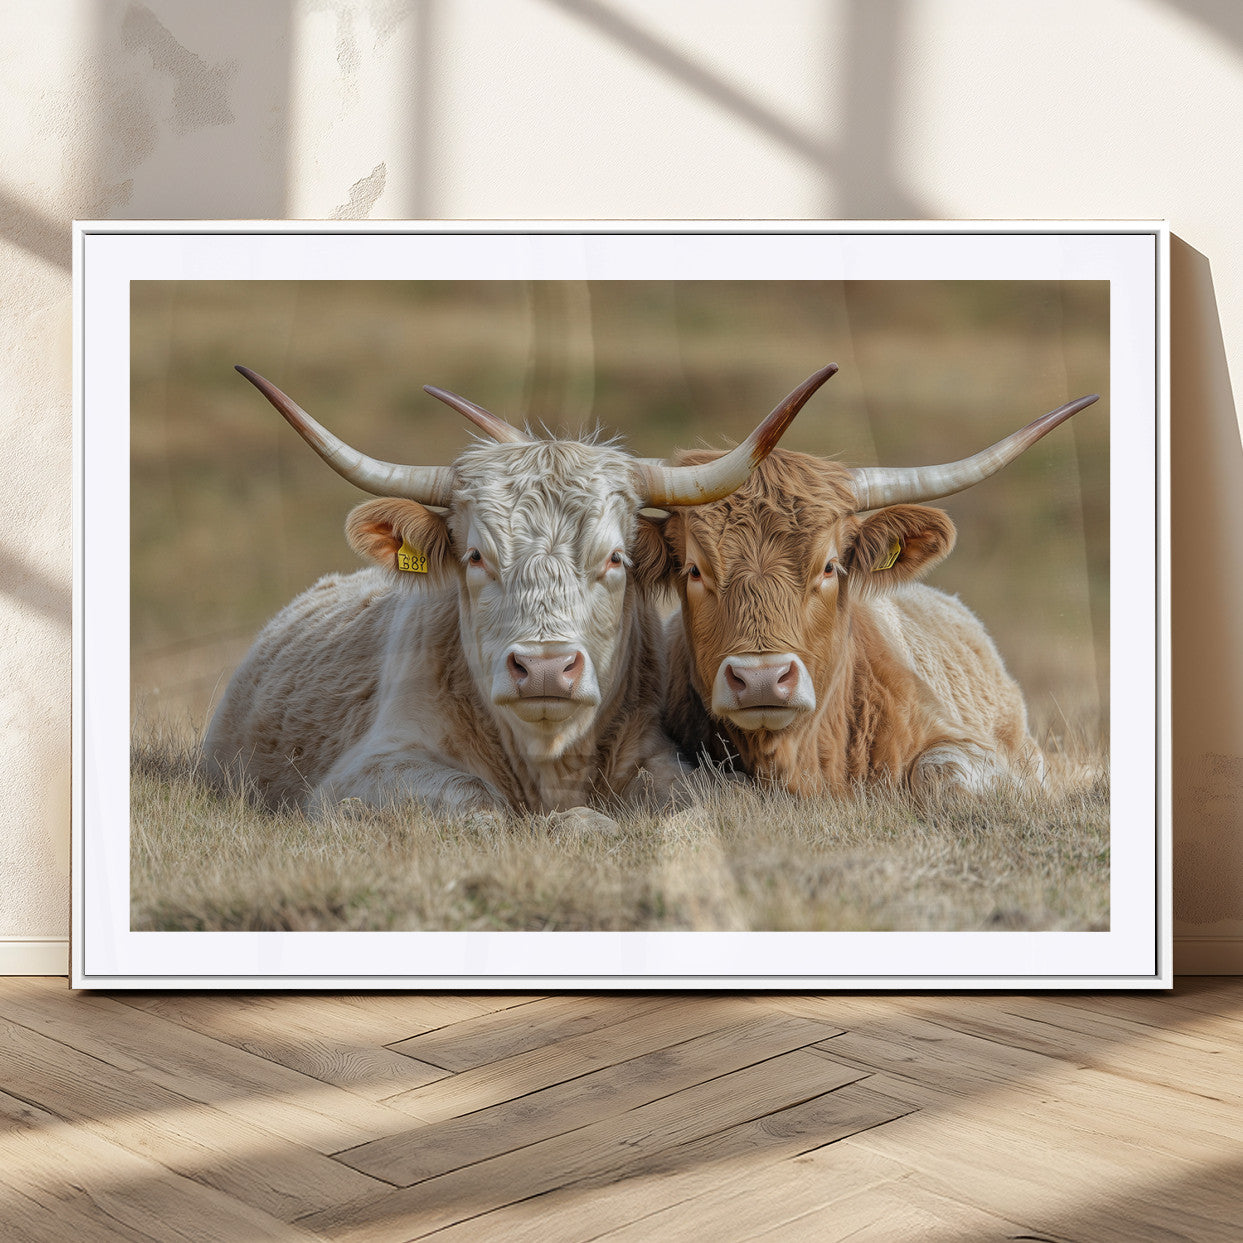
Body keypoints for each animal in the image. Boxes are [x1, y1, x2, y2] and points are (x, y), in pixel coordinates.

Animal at [202, 363, 837, 818]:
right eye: (476, 556)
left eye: (616, 558)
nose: (545, 669)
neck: (549, 759)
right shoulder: (367, 773)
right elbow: (479, 803)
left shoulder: (660, 758)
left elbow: (718, 800)